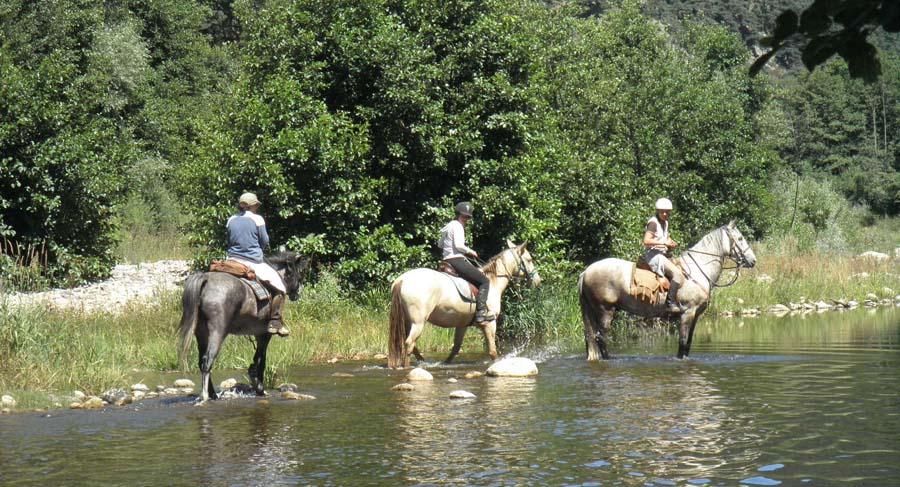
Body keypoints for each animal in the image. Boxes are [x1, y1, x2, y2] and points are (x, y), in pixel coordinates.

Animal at [176, 252, 310, 404]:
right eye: (298, 273)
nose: (296, 293)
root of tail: (206, 280)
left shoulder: (258, 334)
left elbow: (258, 359)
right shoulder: (264, 334)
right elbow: (261, 361)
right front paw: (260, 388)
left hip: (201, 334)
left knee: (201, 362)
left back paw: (213, 395)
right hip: (217, 332)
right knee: (207, 361)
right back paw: (204, 396)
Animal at [388, 242, 540, 368]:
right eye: (529, 260)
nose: (538, 281)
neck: (493, 283)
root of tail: (401, 280)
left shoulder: (462, 325)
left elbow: (455, 349)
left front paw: (445, 364)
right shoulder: (490, 323)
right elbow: (492, 351)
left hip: (407, 321)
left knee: (410, 345)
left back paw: (422, 362)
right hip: (418, 322)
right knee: (409, 344)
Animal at [576, 223, 752, 360]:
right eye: (740, 239)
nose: (753, 260)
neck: (697, 272)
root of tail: (586, 272)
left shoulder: (695, 315)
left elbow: (688, 343)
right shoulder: (687, 313)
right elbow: (682, 343)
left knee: (590, 338)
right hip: (605, 310)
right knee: (600, 338)